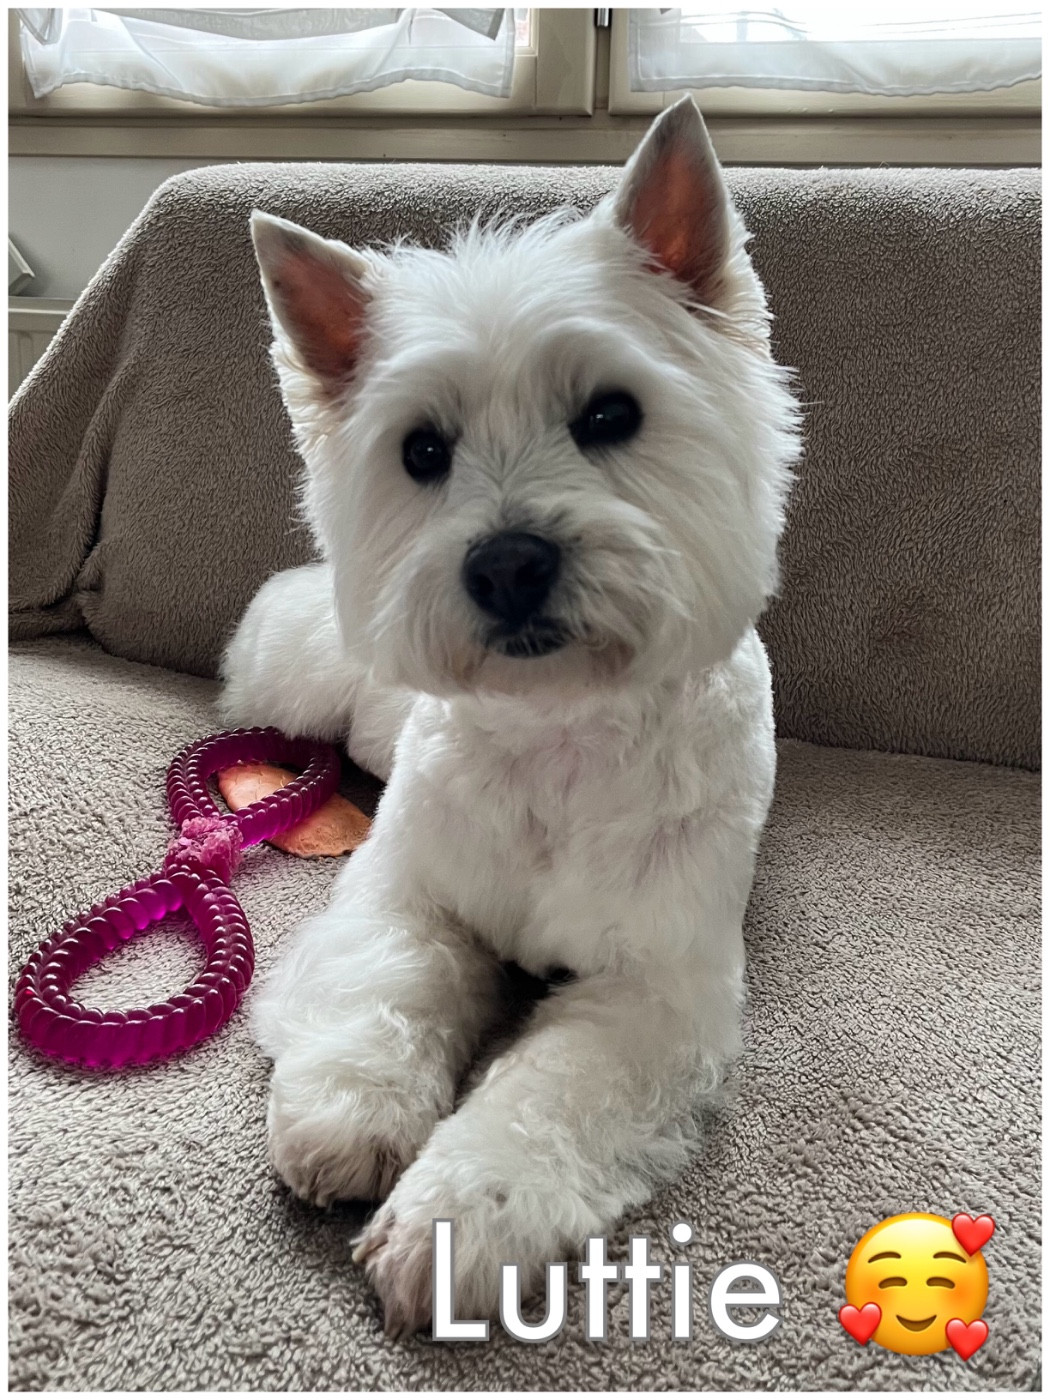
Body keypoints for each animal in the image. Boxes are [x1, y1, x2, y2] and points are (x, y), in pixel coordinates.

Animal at [221, 94, 800, 1337]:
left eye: (612, 412)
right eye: (421, 449)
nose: (508, 564)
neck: (559, 736)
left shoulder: (655, 992)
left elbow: (547, 1094)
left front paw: (454, 1219)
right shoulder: (410, 891)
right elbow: (388, 976)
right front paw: (348, 1110)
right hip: (292, 672)